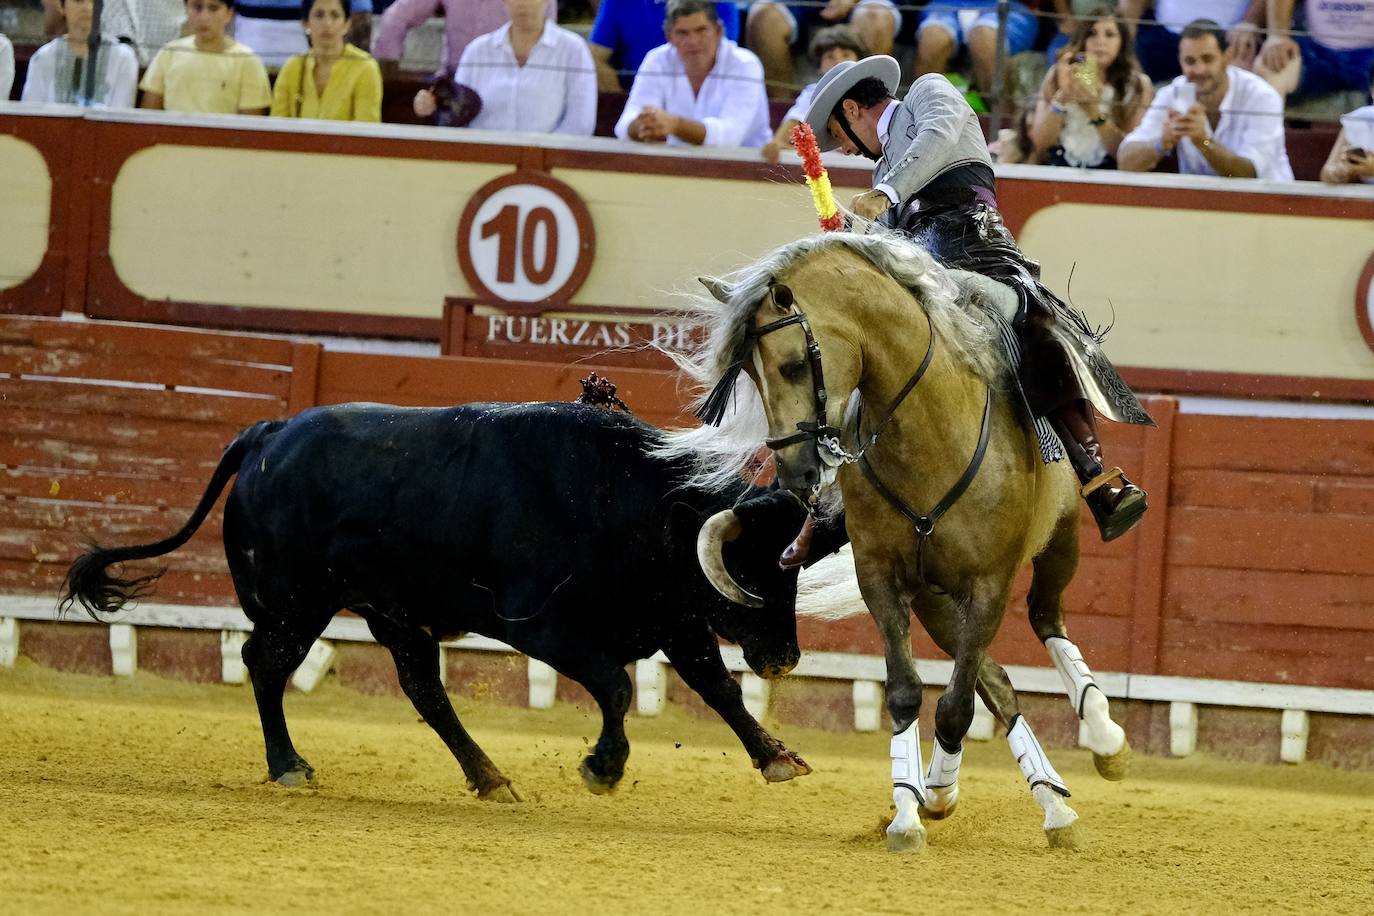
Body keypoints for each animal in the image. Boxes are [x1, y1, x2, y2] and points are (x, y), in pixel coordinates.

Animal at [61, 403, 813, 796]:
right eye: (756, 572)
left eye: (795, 570)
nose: (784, 658)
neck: (627, 503)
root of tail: (265, 434)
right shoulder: (541, 625)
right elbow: (616, 685)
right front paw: (603, 767)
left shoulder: (674, 620)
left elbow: (718, 688)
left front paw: (777, 757)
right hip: (295, 604)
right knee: (265, 664)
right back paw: (290, 767)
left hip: (388, 612)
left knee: (422, 686)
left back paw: (489, 777)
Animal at [659, 230, 1132, 851]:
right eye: (750, 377)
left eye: (792, 365)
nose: (796, 473)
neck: (928, 435)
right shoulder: (883, 578)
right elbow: (910, 691)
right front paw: (911, 810)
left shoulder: (989, 584)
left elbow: (955, 706)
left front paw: (933, 793)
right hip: (935, 596)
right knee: (997, 682)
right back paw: (1045, 800)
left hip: (1060, 541)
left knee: (1044, 619)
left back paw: (1101, 738)